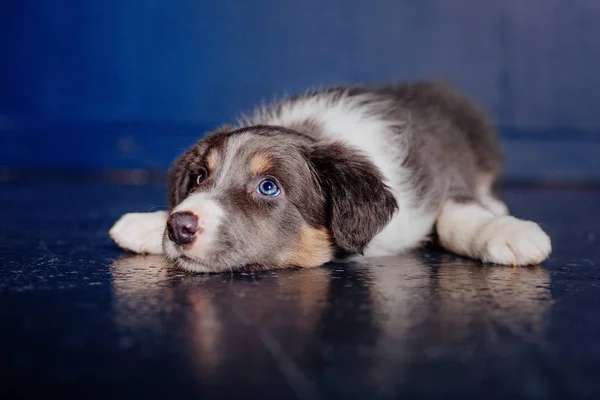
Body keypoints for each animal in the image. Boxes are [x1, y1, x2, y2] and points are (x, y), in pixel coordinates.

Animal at [110, 80, 552, 272]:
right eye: (201, 176)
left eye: (268, 187)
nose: (179, 227)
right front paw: (146, 224)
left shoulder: (441, 177)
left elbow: (456, 213)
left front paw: (508, 234)